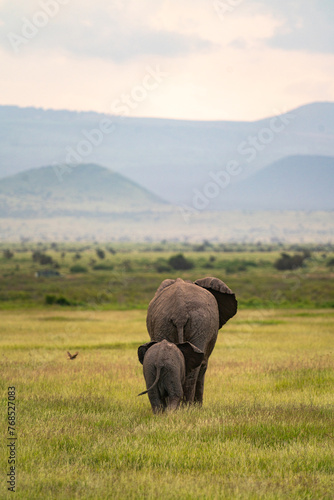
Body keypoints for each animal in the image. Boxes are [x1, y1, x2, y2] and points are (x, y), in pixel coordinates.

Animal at [146, 278, 237, 406]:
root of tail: (180, 312)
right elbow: (203, 365)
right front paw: (198, 407)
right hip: (200, 324)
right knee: (196, 367)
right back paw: (188, 407)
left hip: (163, 323)